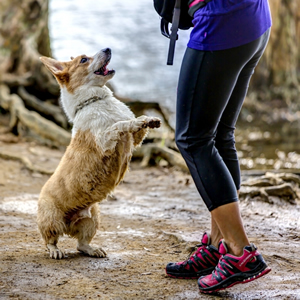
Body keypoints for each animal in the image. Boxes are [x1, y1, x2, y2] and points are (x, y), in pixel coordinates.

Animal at [37, 48, 162, 258]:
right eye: (84, 60)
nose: (108, 49)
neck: (94, 101)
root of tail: (68, 226)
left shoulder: (136, 140)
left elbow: (138, 123)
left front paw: (149, 119)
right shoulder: (105, 141)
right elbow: (121, 125)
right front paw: (134, 122)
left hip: (93, 217)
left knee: (81, 244)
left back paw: (92, 249)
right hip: (51, 218)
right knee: (50, 240)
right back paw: (55, 251)